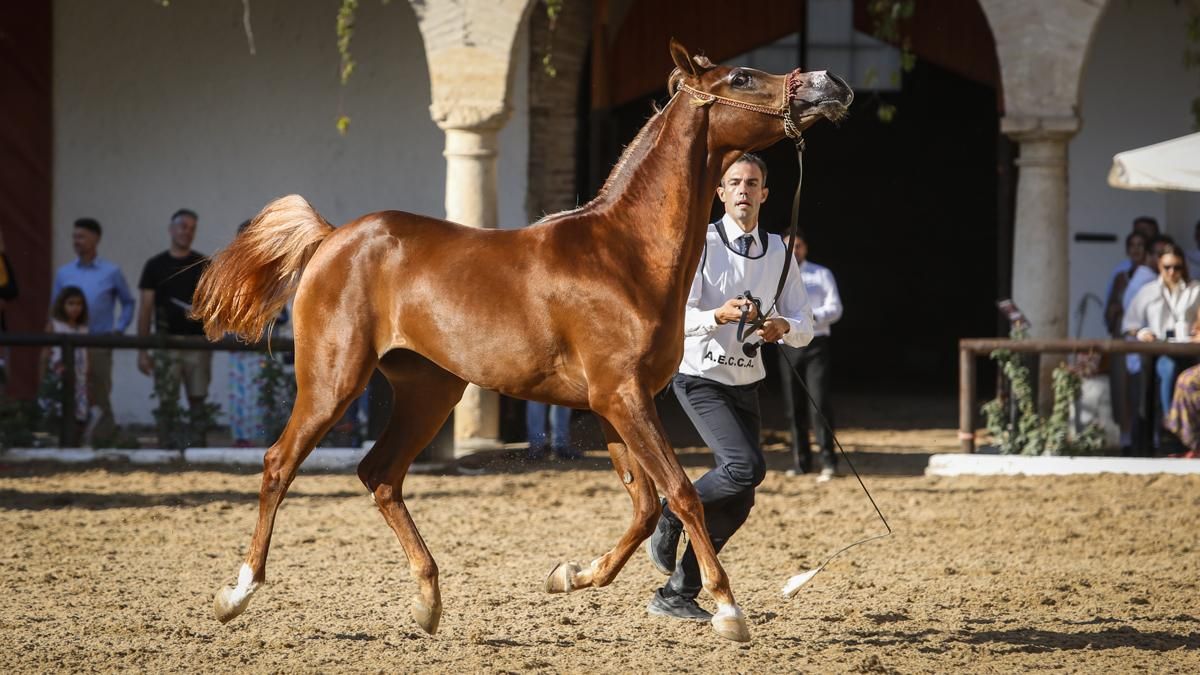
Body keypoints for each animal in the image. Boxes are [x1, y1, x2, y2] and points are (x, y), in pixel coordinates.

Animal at [192, 39, 852, 644]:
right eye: (741, 77)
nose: (830, 82)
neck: (624, 255)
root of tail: (332, 238)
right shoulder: (622, 397)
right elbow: (682, 494)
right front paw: (728, 609)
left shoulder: (616, 404)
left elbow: (644, 509)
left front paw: (571, 575)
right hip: (333, 380)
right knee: (280, 464)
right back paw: (236, 594)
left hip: (430, 391)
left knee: (380, 474)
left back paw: (428, 603)